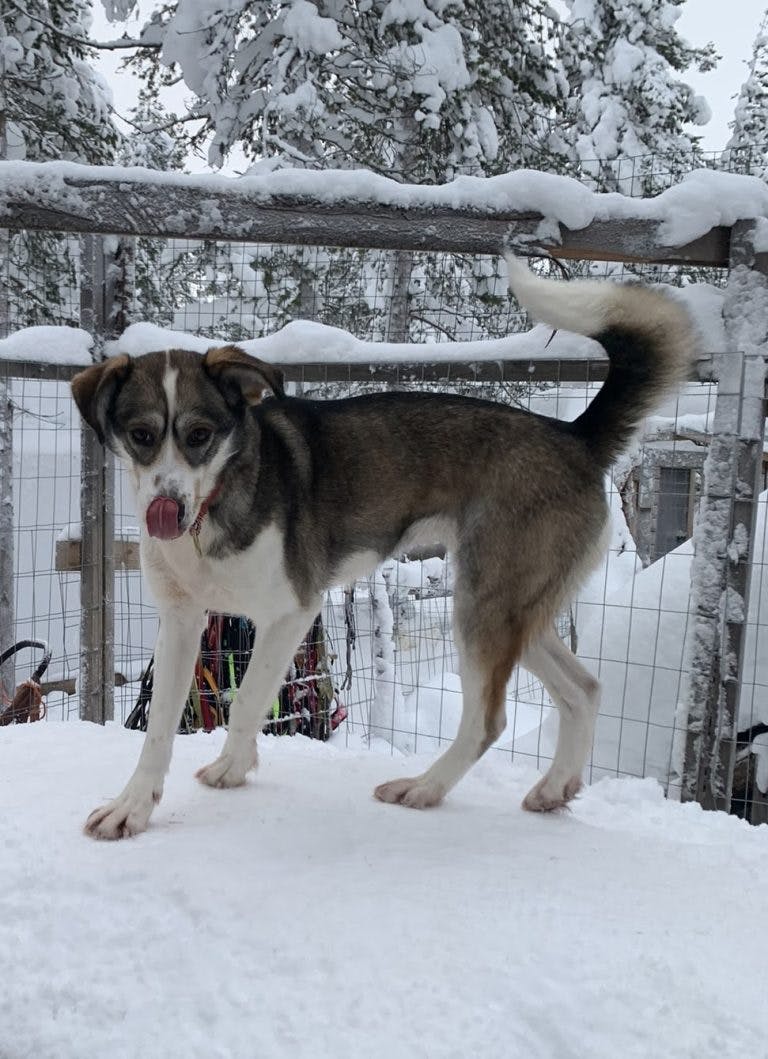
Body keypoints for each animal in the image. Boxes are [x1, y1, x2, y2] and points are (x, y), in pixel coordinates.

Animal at [71, 256, 694, 839]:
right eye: (142, 436)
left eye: (199, 436)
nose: (166, 510)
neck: (214, 507)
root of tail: (574, 436)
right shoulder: (182, 622)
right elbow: (159, 730)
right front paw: (133, 807)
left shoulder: (292, 612)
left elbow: (248, 699)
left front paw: (231, 767)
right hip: (516, 610)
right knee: (584, 689)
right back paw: (554, 787)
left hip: (484, 607)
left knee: (488, 721)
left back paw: (423, 787)